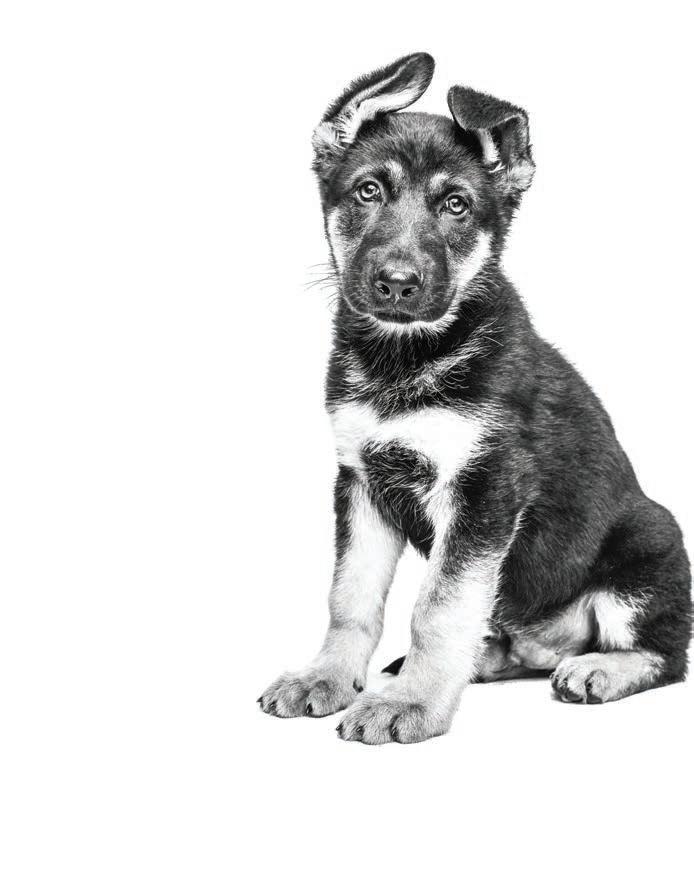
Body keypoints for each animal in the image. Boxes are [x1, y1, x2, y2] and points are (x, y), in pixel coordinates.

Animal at [257, 52, 691, 744]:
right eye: (368, 191)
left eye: (457, 205)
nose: (397, 284)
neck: (406, 358)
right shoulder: (360, 483)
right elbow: (350, 596)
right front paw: (327, 677)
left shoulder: (484, 487)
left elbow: (439, 605)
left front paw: (413, 704)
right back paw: (482, 659)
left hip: (650, 543)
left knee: (665, 655)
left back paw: (597, 668)